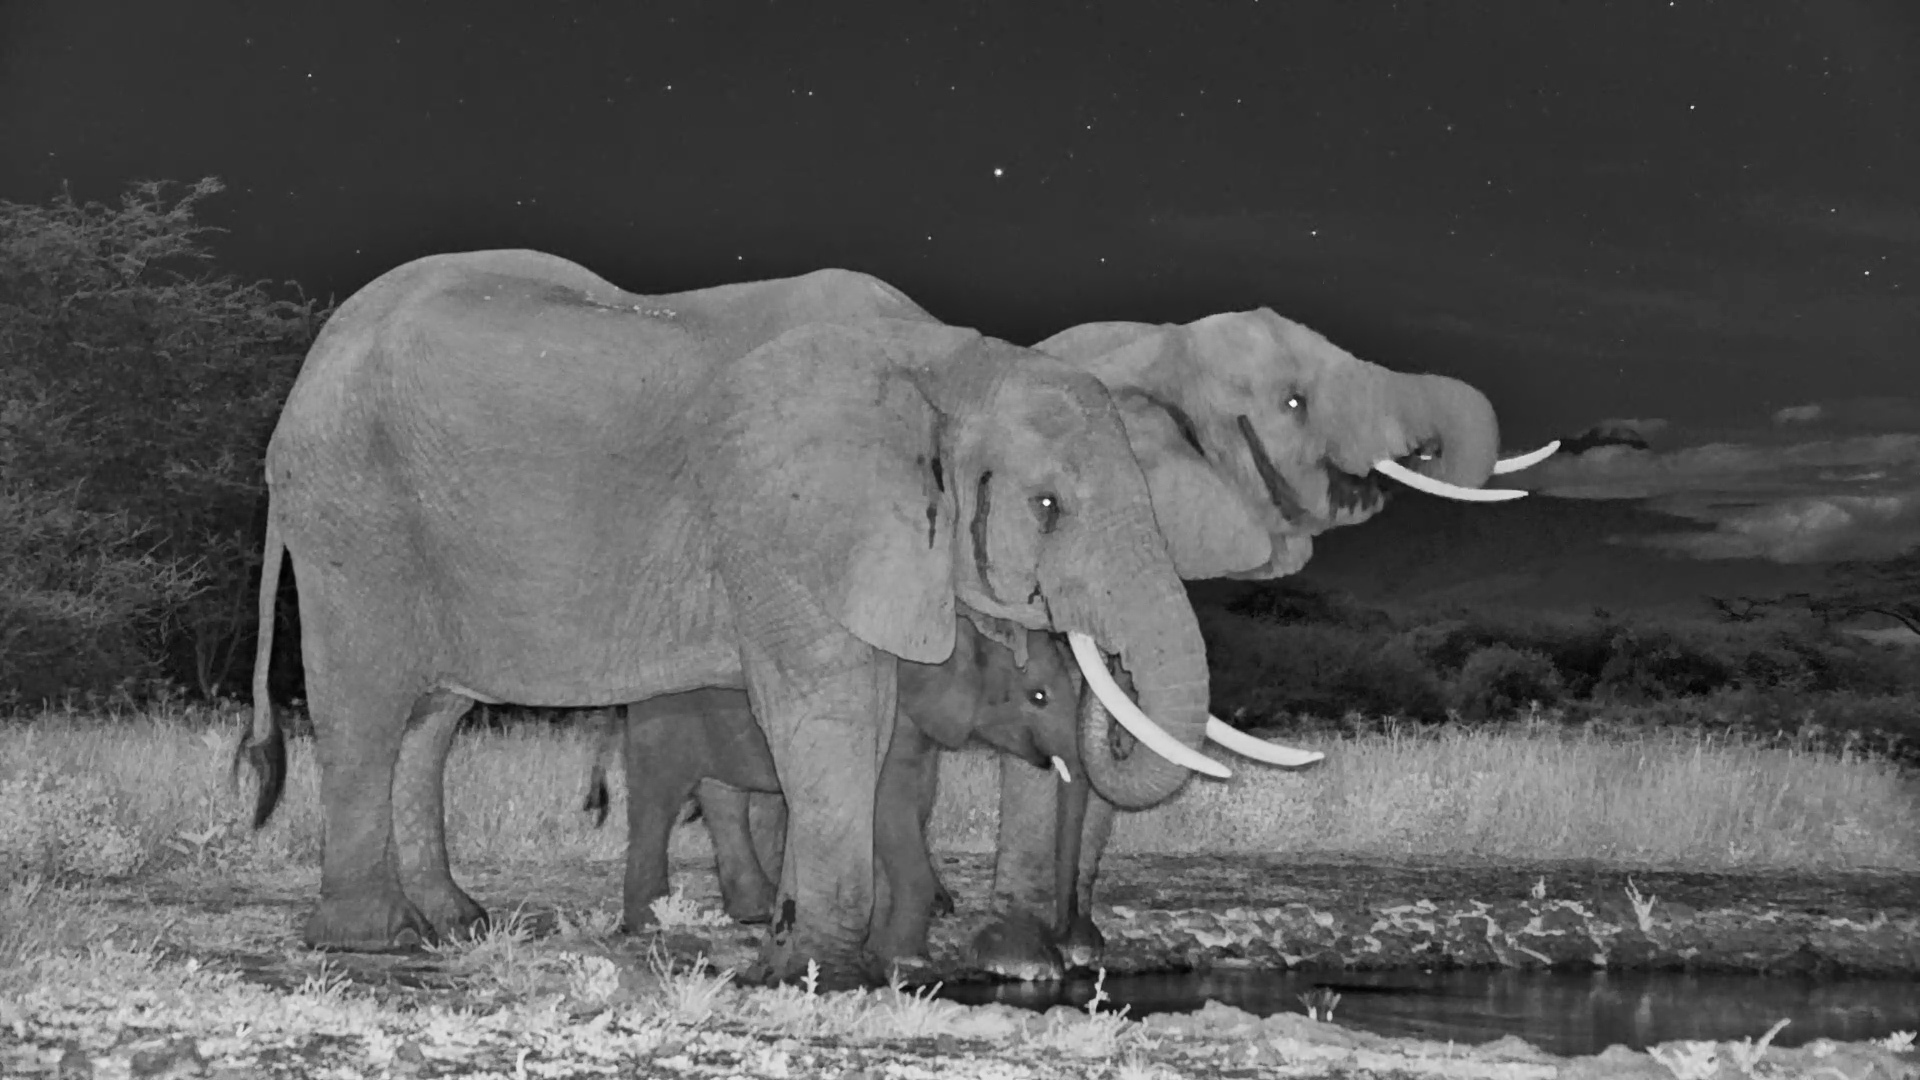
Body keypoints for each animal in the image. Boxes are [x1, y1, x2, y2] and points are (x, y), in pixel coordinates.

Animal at [579, 618, 1090, 962]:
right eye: (1038, 697)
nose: (1067, 941)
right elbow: (888, 809)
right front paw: (902, 953)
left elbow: (918, 802)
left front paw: (888, 939)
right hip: (665, 715)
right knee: (658, 800)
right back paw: (649, 921)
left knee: (722, 797)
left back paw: (754, 912)